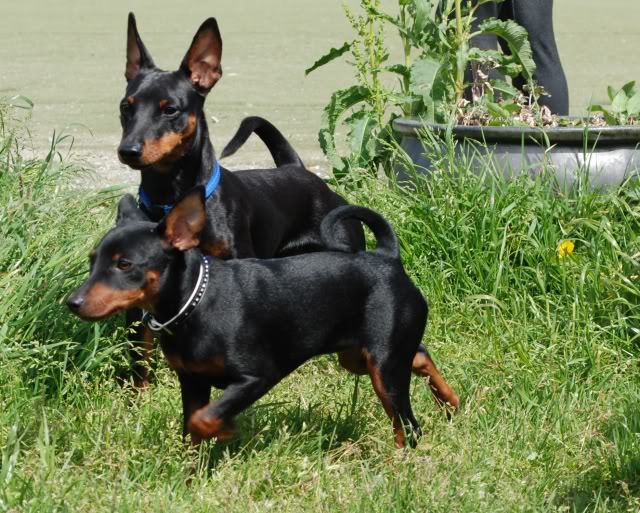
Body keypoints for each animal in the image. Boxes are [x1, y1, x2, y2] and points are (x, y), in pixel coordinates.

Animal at [67, 189, 460, 448]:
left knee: (407, 425)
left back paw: (402, 459)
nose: (73, 302)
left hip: (383, 367)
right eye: (92, 261)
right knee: (420, 355)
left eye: (124, 265)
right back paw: (451, 401)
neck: (196, 303)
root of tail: (387, 258)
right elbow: (192, 425)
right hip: (358, 356)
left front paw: (224, 430)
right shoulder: (192, 382)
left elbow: (204, 417)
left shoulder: (257, 376)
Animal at [115, 14, 364, 386]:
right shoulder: (138, 294)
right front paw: (139, 394)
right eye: (125, 107)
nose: (127, 150)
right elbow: (139, 356)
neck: (173, 198)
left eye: (170, 109)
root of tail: (297, 168)